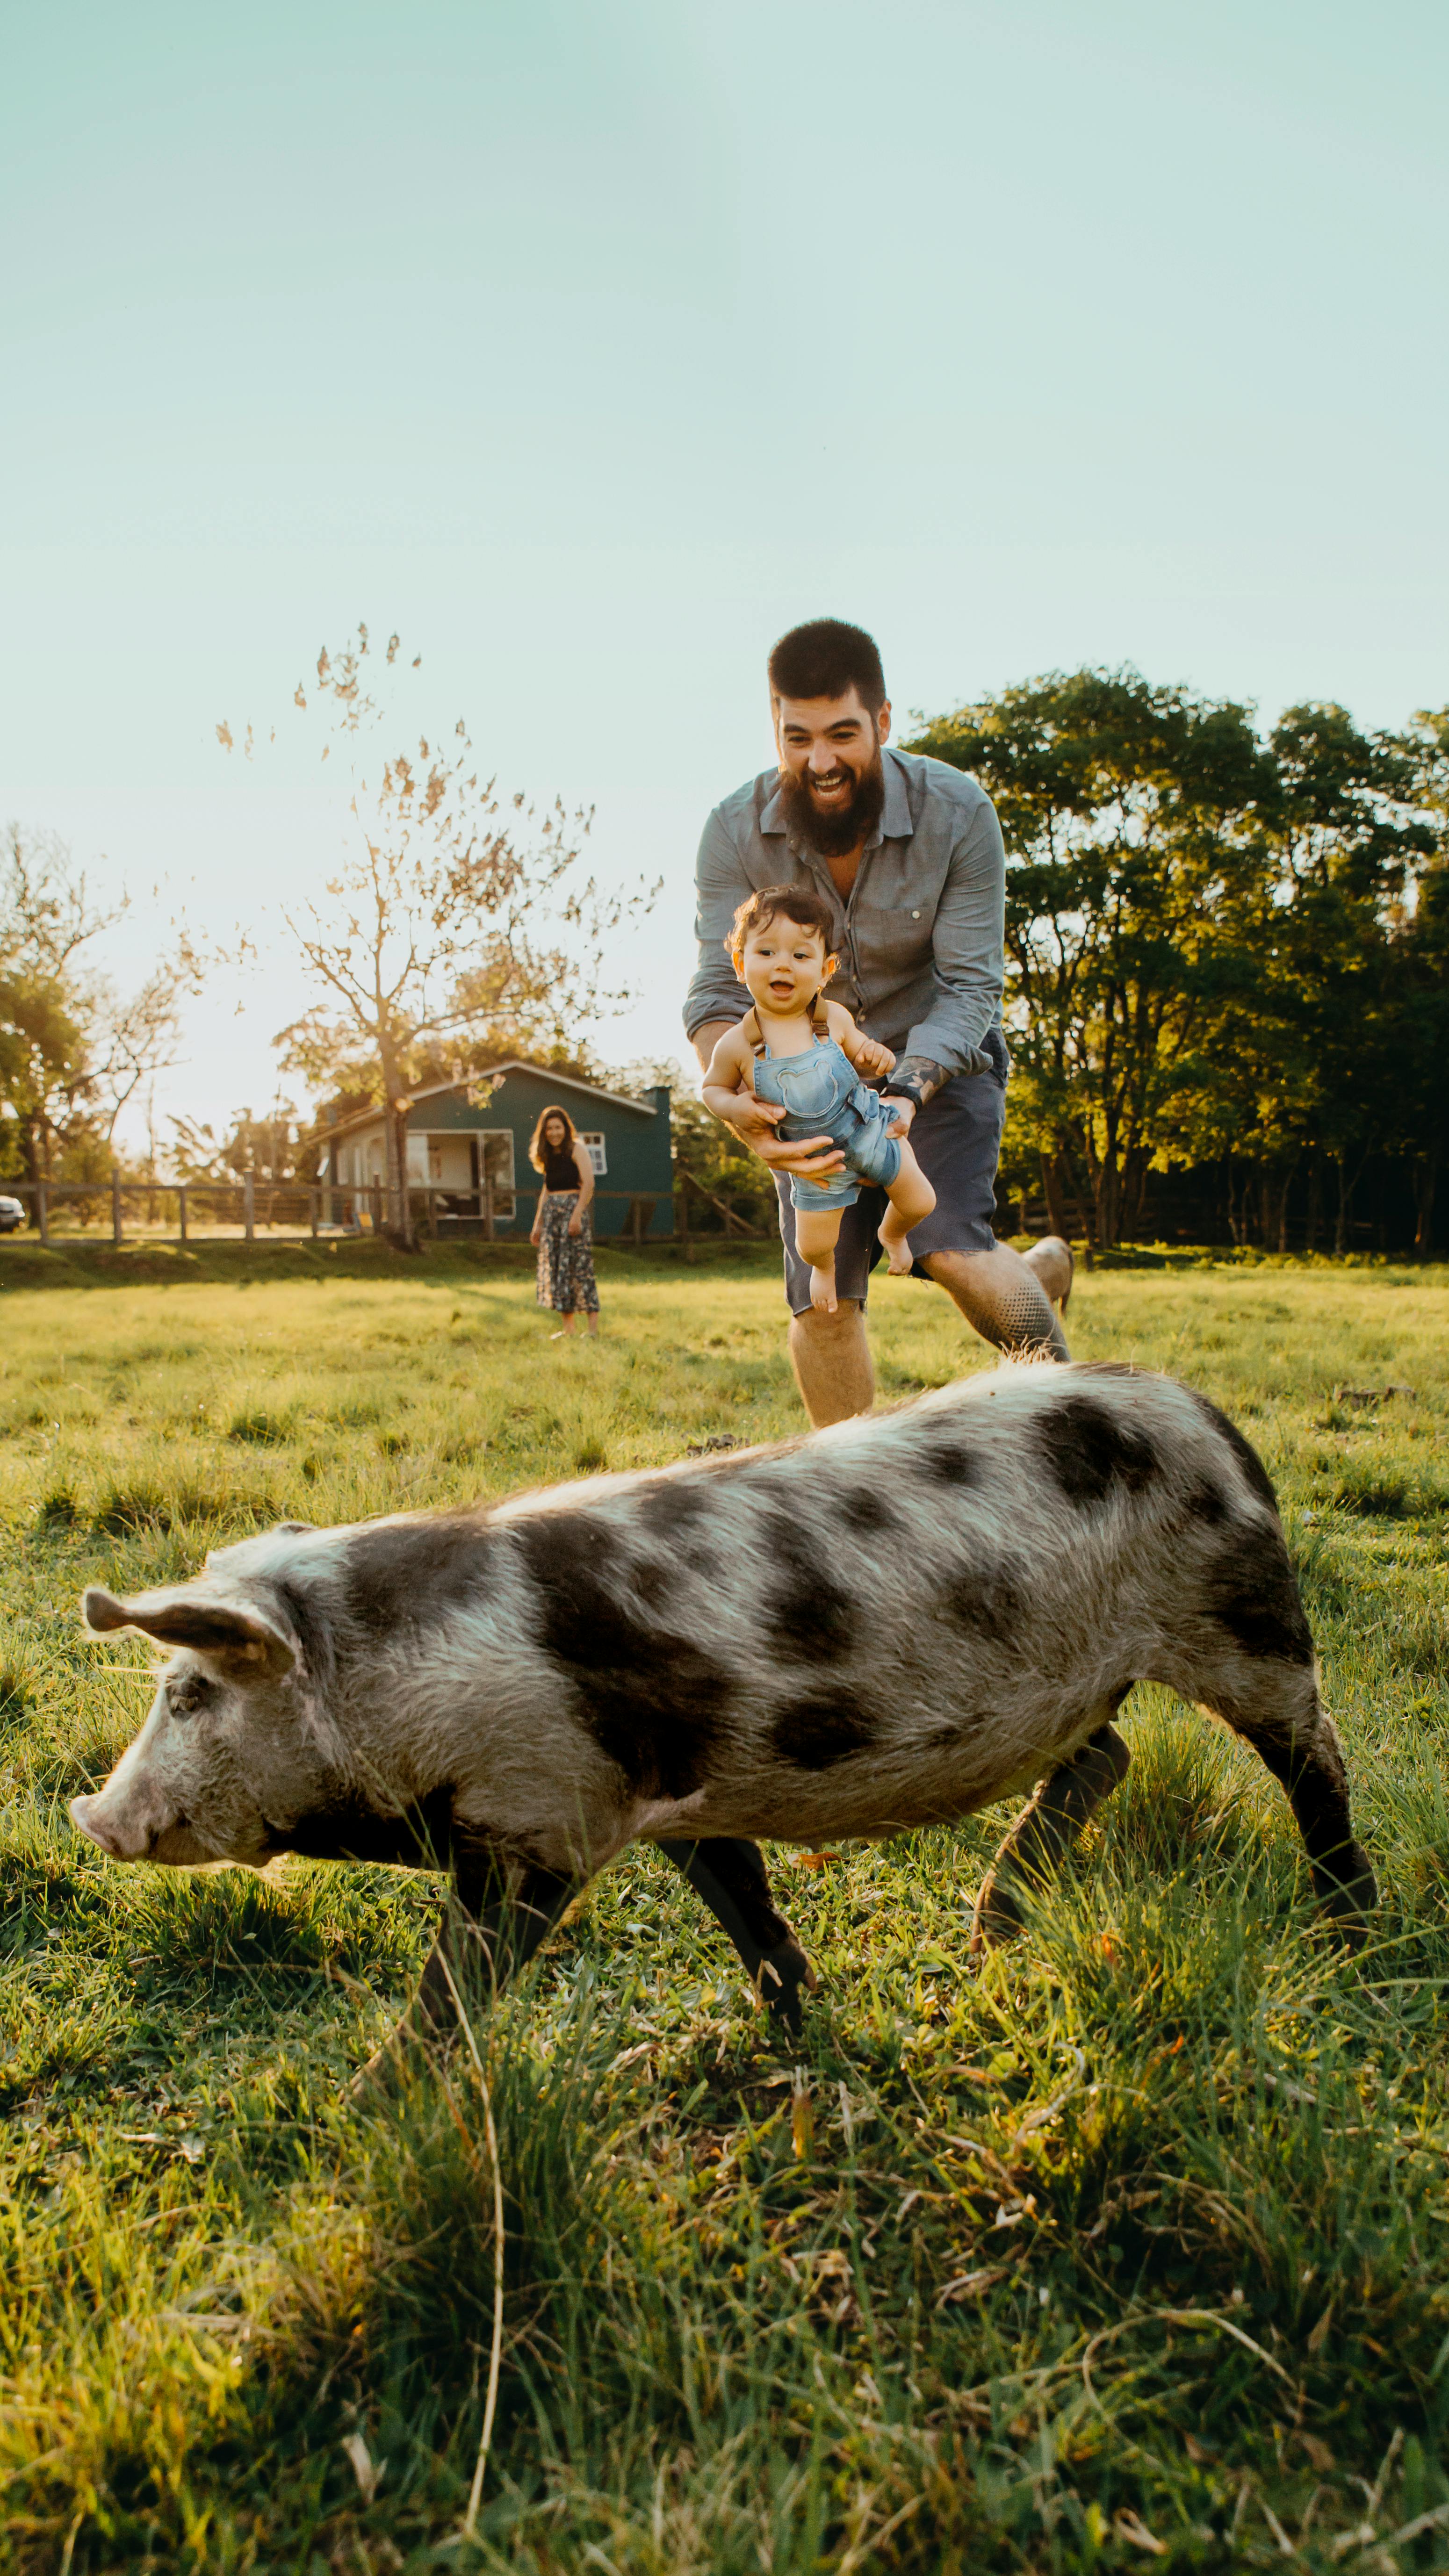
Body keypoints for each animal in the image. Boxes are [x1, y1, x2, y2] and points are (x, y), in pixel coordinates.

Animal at [68, 1363, 1375, 2083]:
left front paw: (370, 2107)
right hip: (1093, 1680)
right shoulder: (668, 1786)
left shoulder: (538, 1814)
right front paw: (793, 2029)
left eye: (189, 1693)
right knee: (1107, 1751)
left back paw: (1350, 1938)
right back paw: (990, 1928)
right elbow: (743, 1902)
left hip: (1247, 1624)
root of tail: (1209, 1418)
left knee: (1315, 1765)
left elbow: (456, 1986)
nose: (91, 1815)